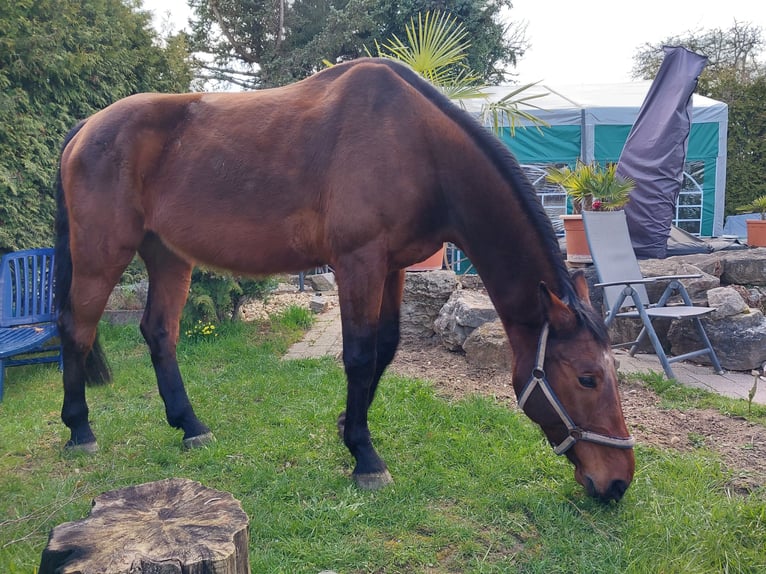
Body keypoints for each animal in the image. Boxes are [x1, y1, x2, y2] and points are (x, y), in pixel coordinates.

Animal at [55, 56, 636, 502]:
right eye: (587, 378)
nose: (618, 482)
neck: (418, 145)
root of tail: (87, 128)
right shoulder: (358, 262)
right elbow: (357, 354)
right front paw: (365, 457)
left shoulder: (393, 265)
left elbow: (385, 347)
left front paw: (346, 428)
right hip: (102, 254)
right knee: (76, 329)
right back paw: (80, 430)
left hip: (169, 256)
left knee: (159, 333)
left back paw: (191, 426)